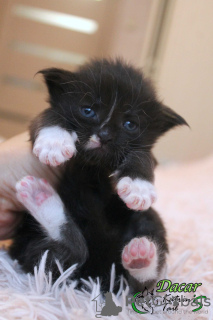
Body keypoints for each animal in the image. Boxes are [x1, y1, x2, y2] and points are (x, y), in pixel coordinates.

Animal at [9, 58, 187, 292]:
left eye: (130, 124)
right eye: (87, 110)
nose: (104, 135)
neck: (95, 165)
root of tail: (96, 275)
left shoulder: (147, 152)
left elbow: (142, 155)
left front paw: (138, 186)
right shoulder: (41, 119)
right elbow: (48, 116)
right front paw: (54, 143)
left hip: (149, 219)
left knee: (138, 285)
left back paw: (141, 256)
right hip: (27, 241)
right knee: (69, 255)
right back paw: (40, 195)